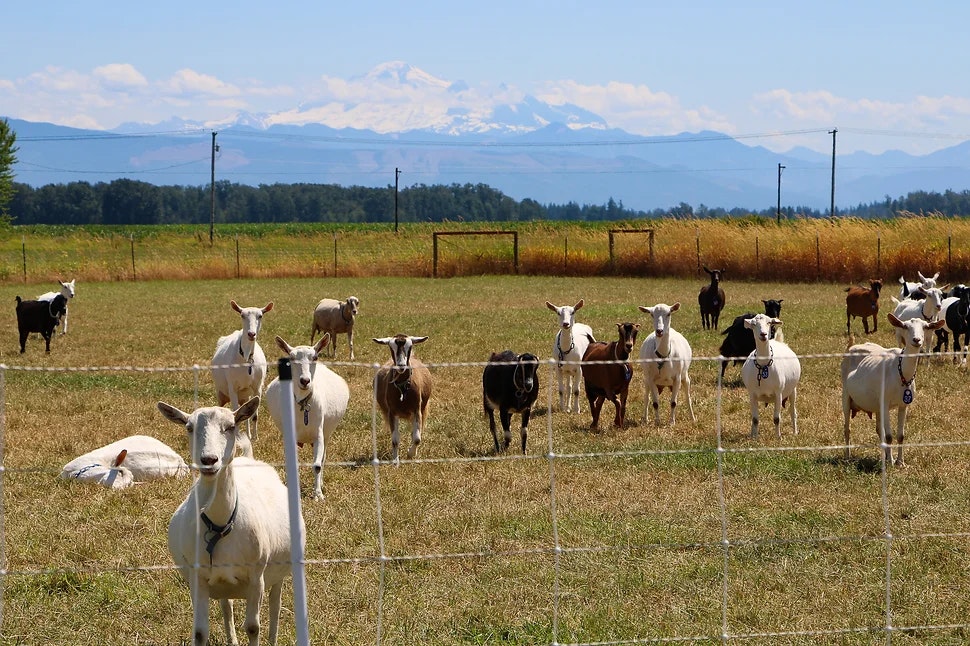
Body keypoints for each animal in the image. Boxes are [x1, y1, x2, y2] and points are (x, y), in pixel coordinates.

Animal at [159, 397, 304, 646]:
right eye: (189, 427)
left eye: (230, 426)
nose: (209, 460)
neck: (220, 525)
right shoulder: (198, 579)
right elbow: (200, 631)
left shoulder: (257, 577)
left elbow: (253, 627)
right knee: (227, 606)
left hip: (280, 569)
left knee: (275, 604)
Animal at [211, 300, 273, 451]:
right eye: (242, 315)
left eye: (260, 315)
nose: (251, 334)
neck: (246, 359)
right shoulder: (232, 387)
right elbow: (235, 413)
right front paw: (236, 439)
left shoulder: (258, 387)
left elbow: (254, 415)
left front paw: (255, 438)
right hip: (221, 392)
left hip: (245, 395)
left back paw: (249, 435)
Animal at [264, 334, 350, 499]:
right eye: (291, 358)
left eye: (315, 357)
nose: (305, 381)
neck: (303, 404)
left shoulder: (318, 434)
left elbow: (317, 465)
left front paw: (318, 494)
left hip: (327, 433)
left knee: (323, 459)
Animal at [373, 335, 433, 465]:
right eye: (391, 347)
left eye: (409, 346)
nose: (401, 365)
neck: (402, 388)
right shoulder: (392, 412)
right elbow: (395, 440)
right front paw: (395, 461)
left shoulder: (417, 410)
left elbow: (417, 438)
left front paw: (410, 454)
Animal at [842, 313, 946, 465]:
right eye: (905, 326)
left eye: (925, 327)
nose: (916, 340)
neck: (900, 372)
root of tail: (851, 347)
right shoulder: (885, 403)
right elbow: (889, 436)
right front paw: (891, 462)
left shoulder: (903, 405)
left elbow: (900, 435)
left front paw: (900, 462)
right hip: (845, 395)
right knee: (847, 428)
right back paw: (848, 456)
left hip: (877, 406)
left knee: (879, 430)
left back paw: (883, 456)